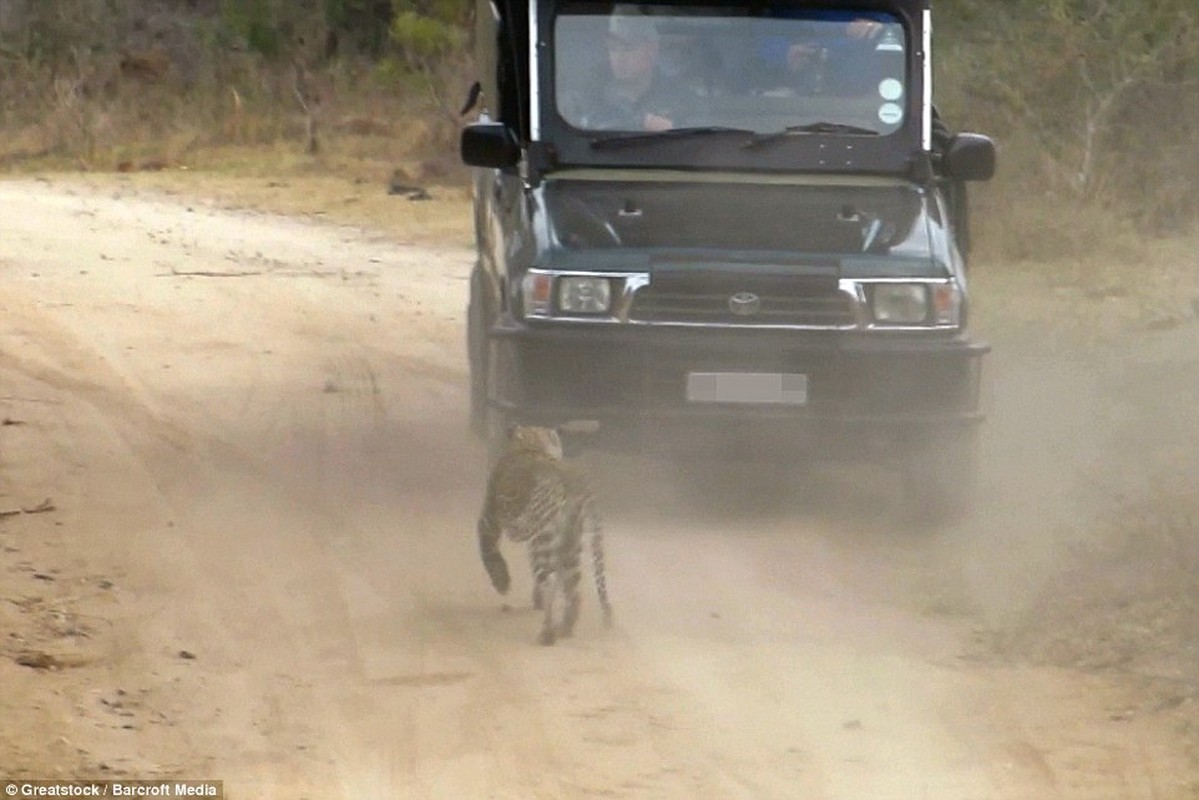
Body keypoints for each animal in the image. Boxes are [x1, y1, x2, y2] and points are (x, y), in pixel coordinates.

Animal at [474, 424, 613, 642]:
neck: (532, 446)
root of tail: (575, 482)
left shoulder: (489, 520)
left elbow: (488, 552)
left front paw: (502, 583)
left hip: (545, 539)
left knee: (550, 582)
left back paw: (548, 634)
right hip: (570, 544)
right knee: (574, 590)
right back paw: (565, 629)